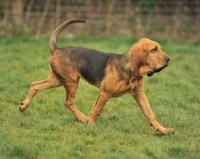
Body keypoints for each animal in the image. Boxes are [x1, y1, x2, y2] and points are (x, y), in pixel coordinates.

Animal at [19, 19, 174, 135]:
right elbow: (97, 111)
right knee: (68, 102)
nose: (168, 59)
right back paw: (83, 119)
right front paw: (91, 128)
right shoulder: (105, 93)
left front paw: (163, 130)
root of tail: (57, 49)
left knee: (34, 85)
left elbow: (150, 114)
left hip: (57, 80)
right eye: (153, 50)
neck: (130, 72)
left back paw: (24, 106)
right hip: (72, 82)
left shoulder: (139, 94)